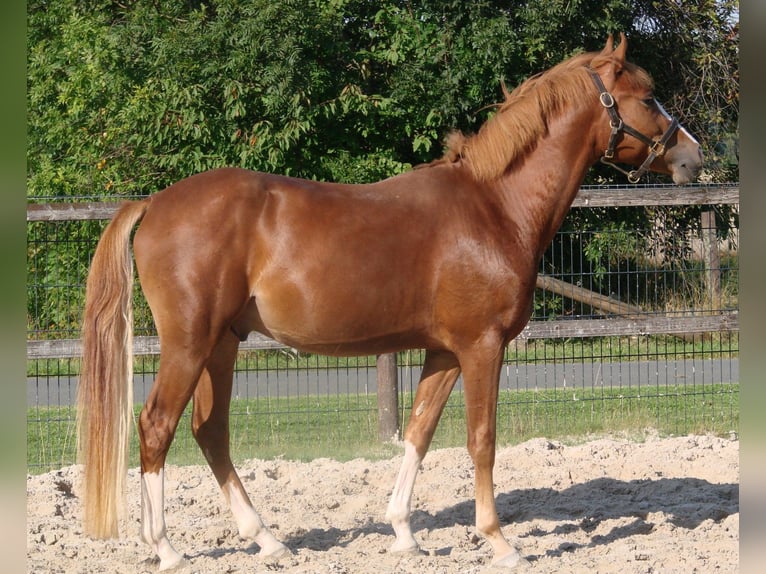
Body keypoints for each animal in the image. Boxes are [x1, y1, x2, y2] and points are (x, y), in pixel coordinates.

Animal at [76, 36, 704, 572]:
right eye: (648, 97)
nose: (694, 157)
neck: (494, 207)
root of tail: (156, 203)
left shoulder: (444, 353)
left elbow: (419, 432)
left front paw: (404, 533)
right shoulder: (482, 347)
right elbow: (482, 440)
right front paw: (500, 541)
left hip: (222, 345)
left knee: (210, 432)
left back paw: (267, 540)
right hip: (190, 343)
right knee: (157, 426)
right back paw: (166, 548)